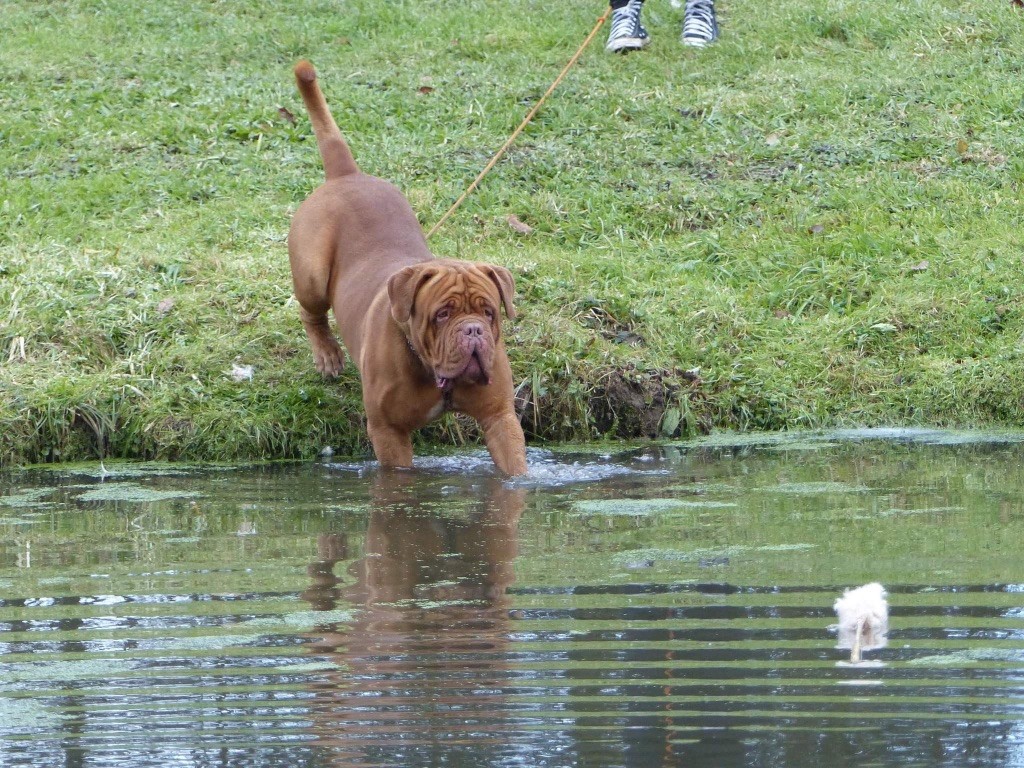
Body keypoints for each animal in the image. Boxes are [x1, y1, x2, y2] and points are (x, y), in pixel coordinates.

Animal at [288, 61, 528, 475]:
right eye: (442, 314)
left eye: (489, 312)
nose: (473, 331)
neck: (432, 370)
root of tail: (345, 175)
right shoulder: (389, 432)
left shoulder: (500, 418)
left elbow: (514, 467)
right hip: (312, 275)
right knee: (311, 312)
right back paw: (327, 355)